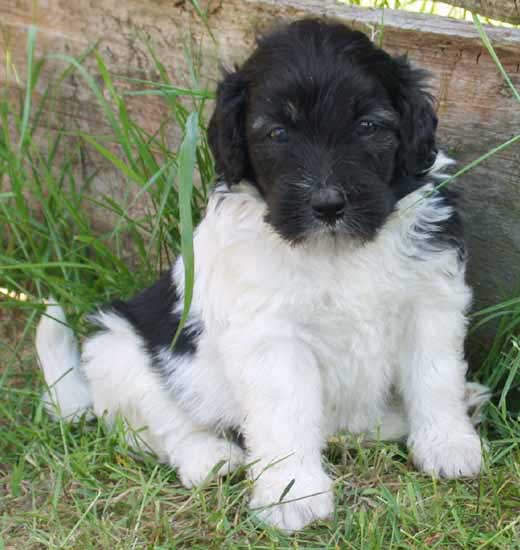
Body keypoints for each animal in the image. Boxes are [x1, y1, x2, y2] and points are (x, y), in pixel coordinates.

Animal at [36, 19, 489, 532]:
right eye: (276, 133)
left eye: (369, 126)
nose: (328, 204)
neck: (336, 252)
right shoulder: (270, 337)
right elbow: (283, 411)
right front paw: (291, 494)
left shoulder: (431, 300)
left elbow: (434, 376)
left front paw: (447, 444)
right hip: (117, 348)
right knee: (158, 426)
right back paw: (210, 458)